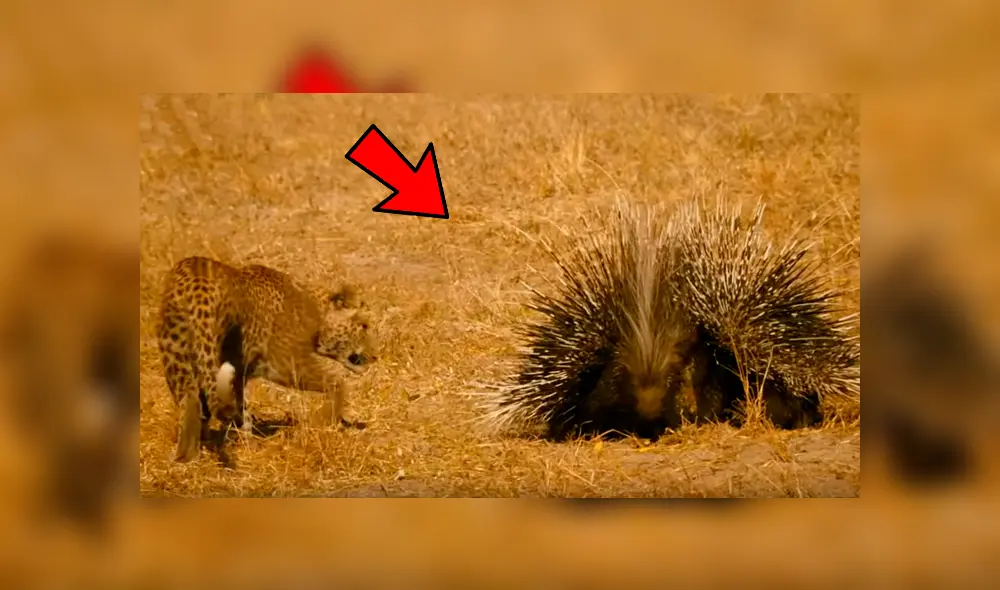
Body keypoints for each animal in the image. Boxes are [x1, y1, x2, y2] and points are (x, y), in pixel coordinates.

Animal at [156, 256, 379, 463]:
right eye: (364, 326)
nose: (376, 356)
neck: (316, 311)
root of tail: (197, 284)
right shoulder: (286, 363)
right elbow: (336, 382)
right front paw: (329, 419)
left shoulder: (239, 373)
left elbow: (239, 407)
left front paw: (245, 440)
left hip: (176, 356)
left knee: (189, 398)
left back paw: (187, 455)